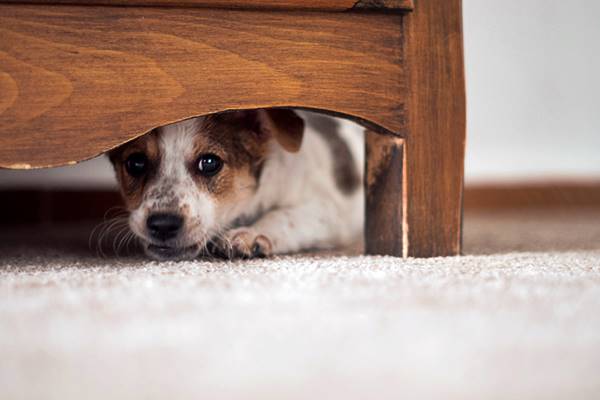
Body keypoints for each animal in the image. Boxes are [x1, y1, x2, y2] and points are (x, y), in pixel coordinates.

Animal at [108, 109, 364, 260]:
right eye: (136, 163)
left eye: (210, 163)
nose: (163, 224)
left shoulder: (327, 210)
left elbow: (284, 215)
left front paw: (252, 234)